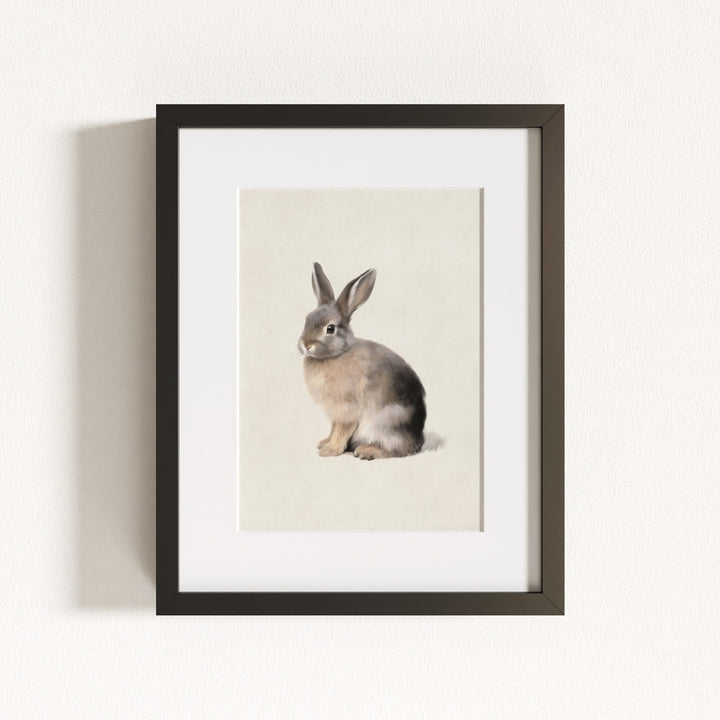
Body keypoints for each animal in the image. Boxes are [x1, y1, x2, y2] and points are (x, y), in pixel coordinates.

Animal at [298, 262, 426, 460]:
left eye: (330, 328)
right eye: (307, 319)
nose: (306, 345)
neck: (337, 354)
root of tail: (418, 439)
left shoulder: (347, 410)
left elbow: (342, 430)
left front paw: (329, 450)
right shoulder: (335, 414)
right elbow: (333, 428)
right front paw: (324, 443)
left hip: (385, 423)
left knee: (397, 450)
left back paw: (367, 451)